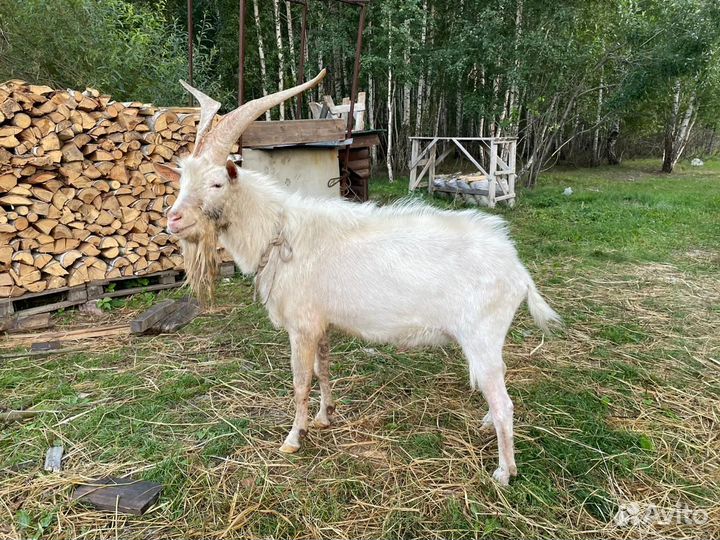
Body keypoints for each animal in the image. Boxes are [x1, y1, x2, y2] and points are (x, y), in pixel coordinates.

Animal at [154, 70, 561, 485]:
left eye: (217, 182)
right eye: (182, 181)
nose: (174, 220)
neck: (280, 232)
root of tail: (517, 269)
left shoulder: (301, 325)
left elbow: (300, 381)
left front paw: (292, 438)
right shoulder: (321, 323)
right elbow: (323, 370)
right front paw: (323, 417)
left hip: (481, 335)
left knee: (505, 403)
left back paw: (504, 471)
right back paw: (486, 425)